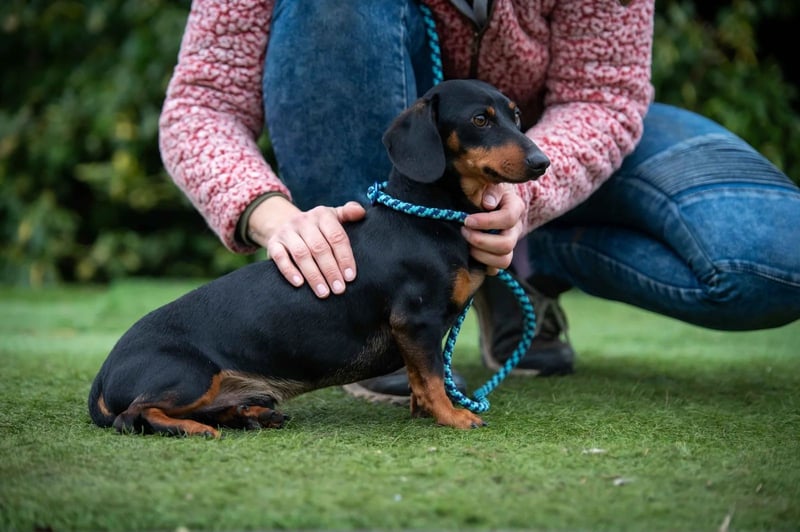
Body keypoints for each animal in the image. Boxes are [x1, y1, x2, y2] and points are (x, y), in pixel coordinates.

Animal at [88, 79, 550, 437]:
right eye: (480, 120)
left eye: (516, 117)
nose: (542, 162)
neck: (427, 218)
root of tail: (104, 374)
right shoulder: (416, 321)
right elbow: (433, 377)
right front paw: (453, 416)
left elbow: (421, 379)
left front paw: (425, 412)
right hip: (193, 375)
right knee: (135, 414)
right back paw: (195, 428)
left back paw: (249, 414)